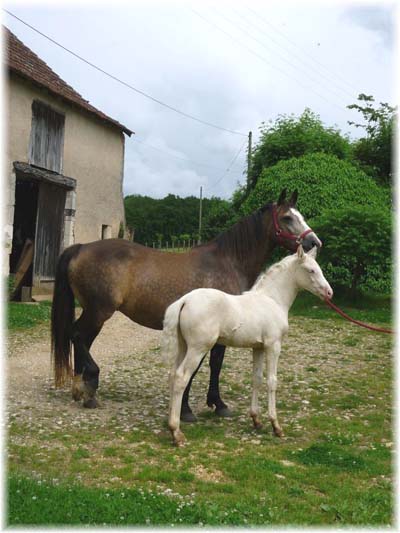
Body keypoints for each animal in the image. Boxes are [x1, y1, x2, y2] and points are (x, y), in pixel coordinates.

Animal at [50, 190, 322, 420]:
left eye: (300, 215)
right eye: (287, 217)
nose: (314, 243)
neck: (228, 262)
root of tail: (80, 248)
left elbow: (208, 365)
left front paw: (201, 404)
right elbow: (210, 364)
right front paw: (201, 407)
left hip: (94, 312)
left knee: (81, 339)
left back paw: (82, 390)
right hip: (98, 311)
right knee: (78, 335)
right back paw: (89, 387)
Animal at [161, 245, 332, 444]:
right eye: (311, 270)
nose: (329, 293)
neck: (273, 300)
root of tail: (184, 301)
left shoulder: (258, 347)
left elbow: (256, 379)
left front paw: (256, 420)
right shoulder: (273, 346)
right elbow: (272, 381)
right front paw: (276, 426)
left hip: (184, 346)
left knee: (173, 375)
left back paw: (171, 425)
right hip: (198, 348)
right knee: (181, 377)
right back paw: (176, 433)